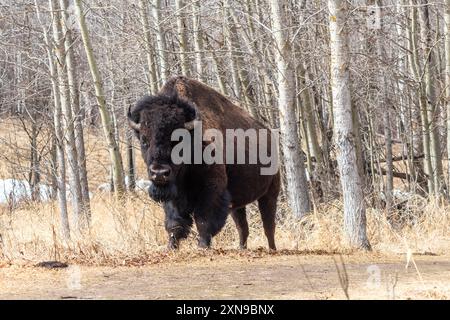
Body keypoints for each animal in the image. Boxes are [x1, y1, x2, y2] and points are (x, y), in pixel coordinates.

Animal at [126, 77, 280, 250]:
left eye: (178, 140)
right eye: (144, 140)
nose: (159, 173)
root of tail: (269, 134)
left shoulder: (211, 189)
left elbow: (203, 220)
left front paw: (202, 246)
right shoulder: (173, 193)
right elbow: (175, 223)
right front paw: (171, 246)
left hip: (270, 192)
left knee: (268, 225)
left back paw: (272, 248)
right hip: (237, 203)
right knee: (242, 227)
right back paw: (242, 248)